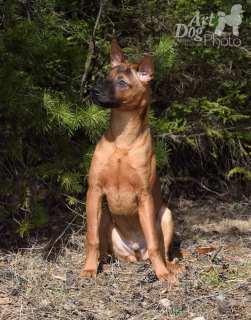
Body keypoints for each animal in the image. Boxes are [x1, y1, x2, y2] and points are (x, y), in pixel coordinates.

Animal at [81, 39, 186, 282]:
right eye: (106, 76)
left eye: (122, 82)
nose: (94, 90)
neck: (123, 140)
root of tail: (136, 251)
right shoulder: (94, 191)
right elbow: (92, 239)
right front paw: (89, 269)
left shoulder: (144, 196)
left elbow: (156, 245)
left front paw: (162, 274)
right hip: (104, 215)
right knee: (105, 250)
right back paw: (104, 264)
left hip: (166, 215)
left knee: (161, 250)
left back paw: (171, 267)